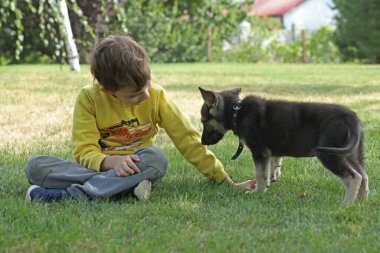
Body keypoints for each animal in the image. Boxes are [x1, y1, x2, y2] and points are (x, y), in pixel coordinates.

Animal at [199, 86, 368, 204]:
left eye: (203, 121)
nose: (202, 142)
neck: (237, 112)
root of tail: (351, 118)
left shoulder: (259, 151)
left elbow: (260, 174)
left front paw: (257, 193)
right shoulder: (271, 152)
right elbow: (272, 167)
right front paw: (270, 181)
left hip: (330, 154)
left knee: (354, 177)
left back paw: (346, 204)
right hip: (352, 154)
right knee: (364, 176)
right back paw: (361, 201)